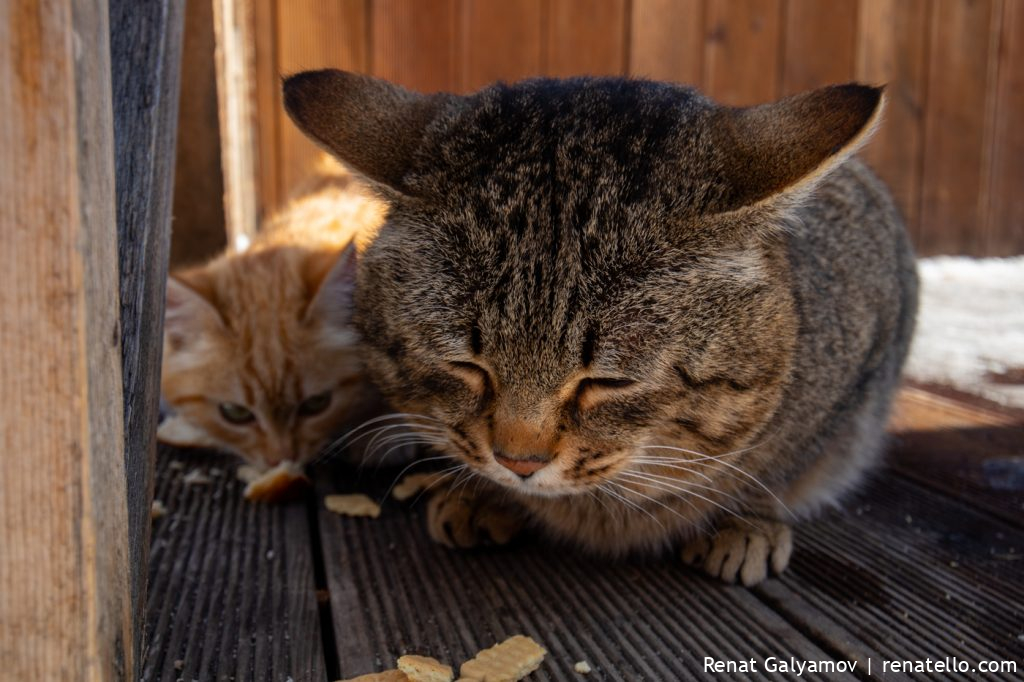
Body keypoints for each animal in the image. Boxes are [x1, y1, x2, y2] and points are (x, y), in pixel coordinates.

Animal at [282, 70, 921, 585]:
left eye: (608, 382)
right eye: (467, 366)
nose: (518, 463)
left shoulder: (855, 378)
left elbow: (779, 464)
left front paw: (748, 518)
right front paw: (480, 493)